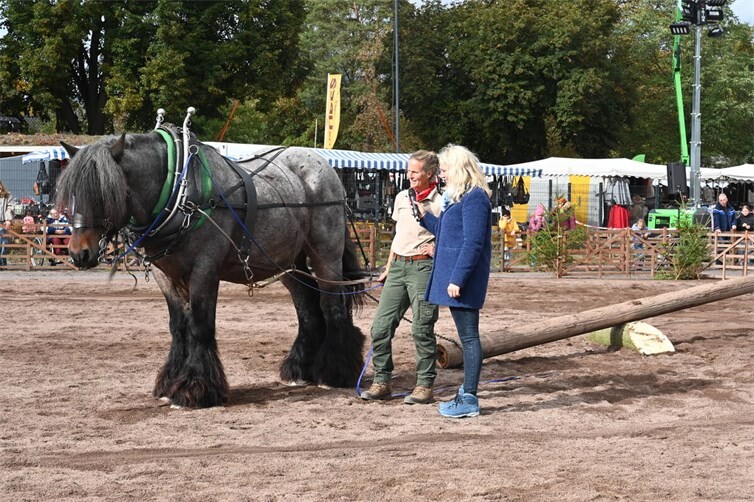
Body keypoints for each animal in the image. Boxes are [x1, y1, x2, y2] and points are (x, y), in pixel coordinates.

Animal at [55, 127, 366, 408]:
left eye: (104, 192)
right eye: (73, 193)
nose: (79, 254)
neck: (180, 192)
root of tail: (326, 168)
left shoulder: (205, 269)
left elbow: (200, 324)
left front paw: (195, 389)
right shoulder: (164, 275)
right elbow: (178, 326)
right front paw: (170, 382)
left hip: (326, 253)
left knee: (332, 305)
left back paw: (336, 371)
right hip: (287, 261)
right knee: (307, 307)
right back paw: (300, 368)